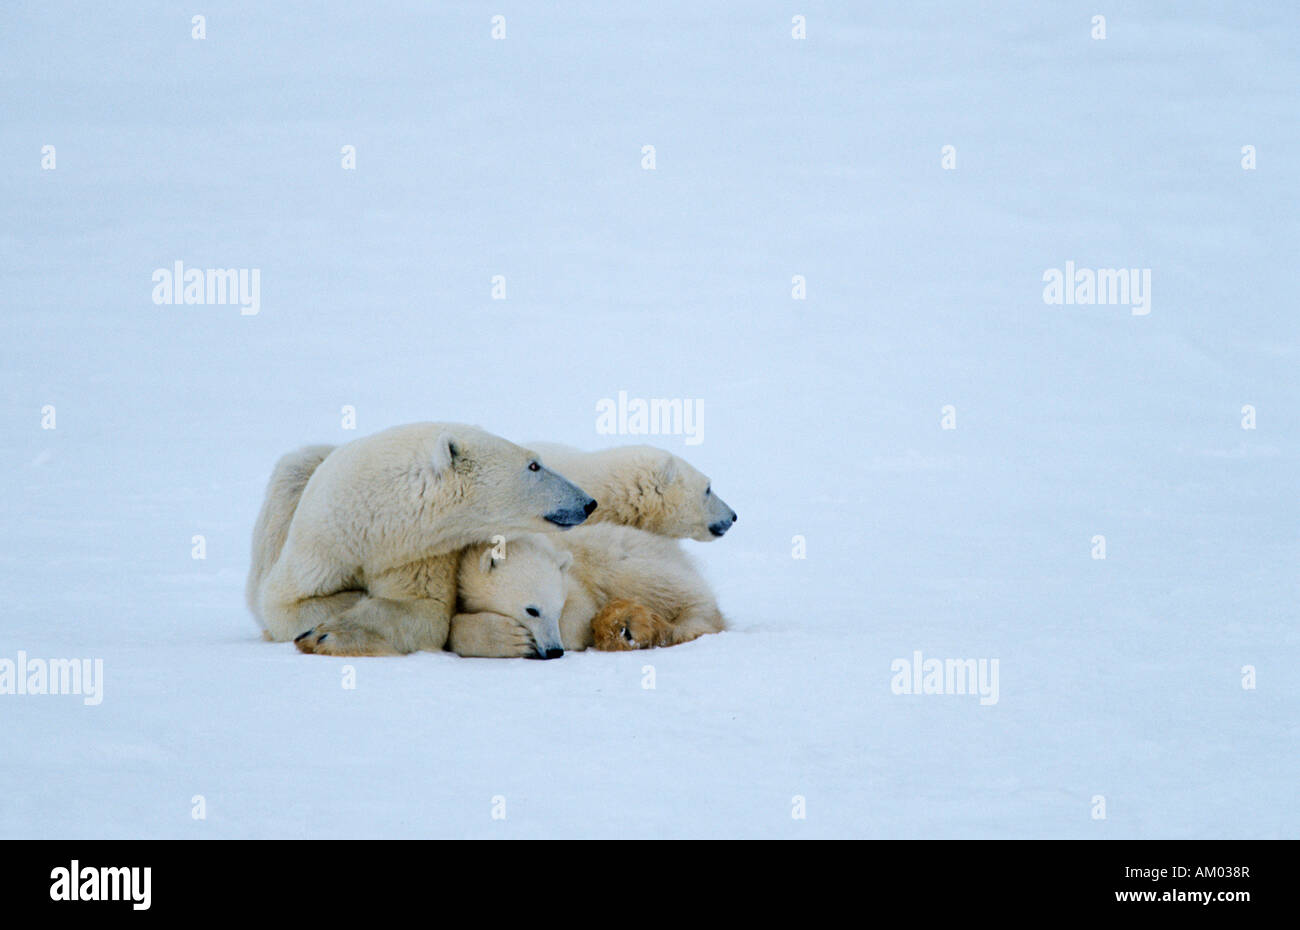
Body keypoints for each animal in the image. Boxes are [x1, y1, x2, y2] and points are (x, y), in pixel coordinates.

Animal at [246, 426, 595, 658]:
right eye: (534, 465)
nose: (588, 502)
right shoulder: (324, 541)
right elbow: (283, 604)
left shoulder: (418, 551)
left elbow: (421, 608)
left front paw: (328, 633)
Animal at [452, 520, 728, 658]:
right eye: (532, 610)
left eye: (558, 609)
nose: (554, 651)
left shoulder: (572, 577)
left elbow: (581, 612)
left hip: (624, 558)